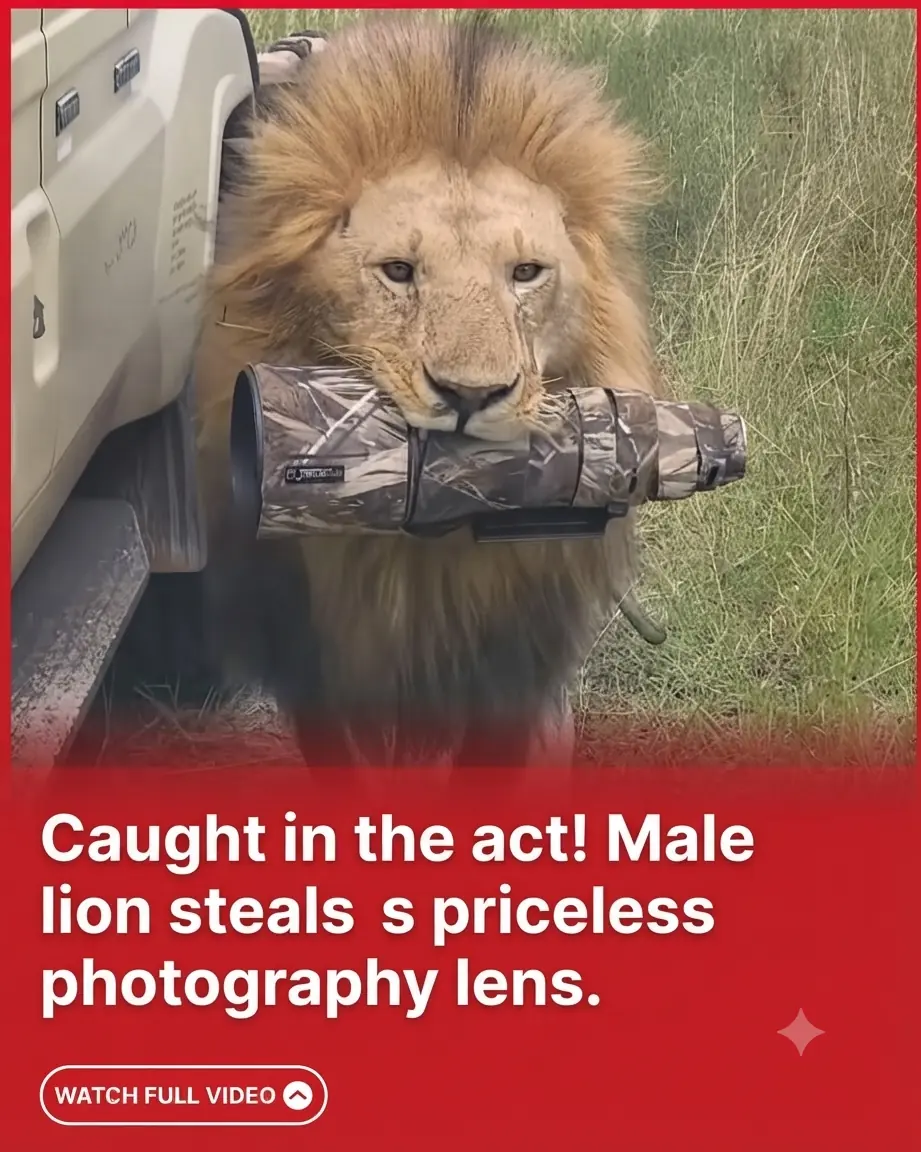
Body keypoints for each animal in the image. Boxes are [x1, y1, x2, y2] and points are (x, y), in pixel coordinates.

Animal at [192, 13, 663, 768]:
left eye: (526, 273)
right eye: (398, 271)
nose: (471, 396)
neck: (423, 556)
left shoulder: (514, 666)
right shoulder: (310, 663)